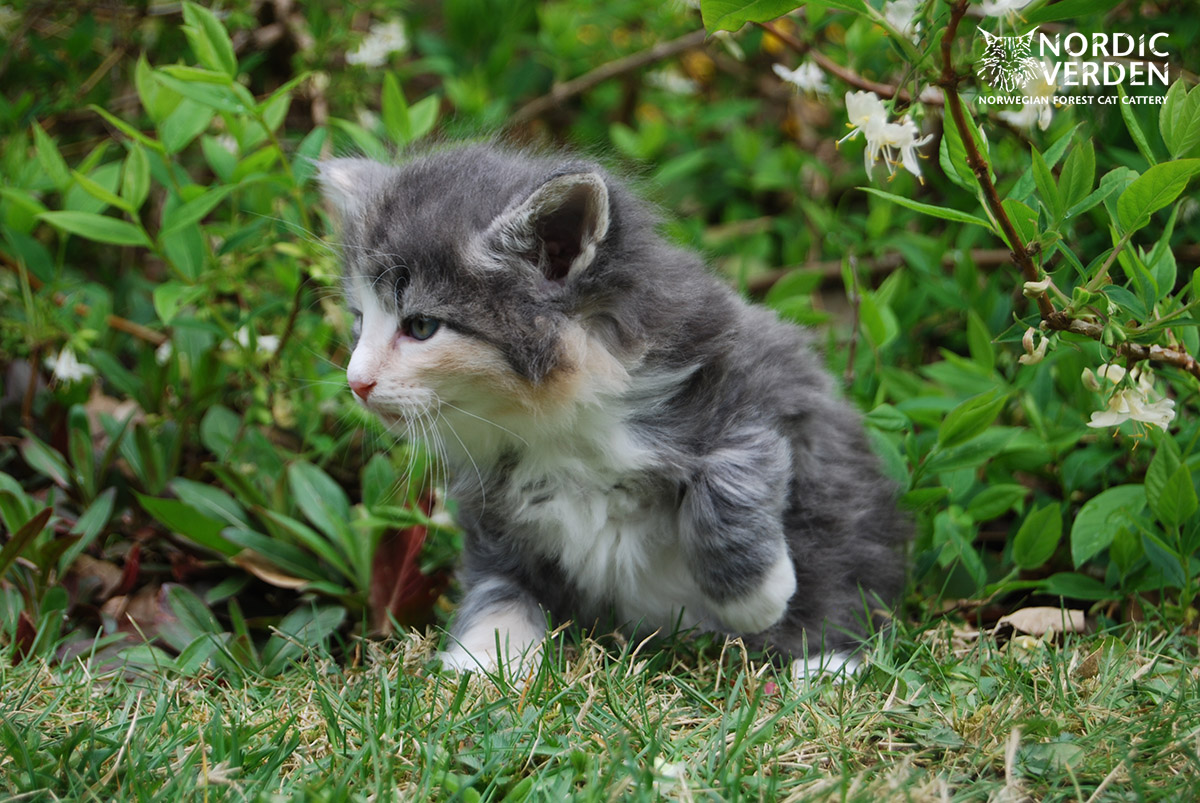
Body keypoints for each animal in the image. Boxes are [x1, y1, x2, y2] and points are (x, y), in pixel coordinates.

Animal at [318, 142, 909, 677]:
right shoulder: (493, 512)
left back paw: (823, 665)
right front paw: (485, 660)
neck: (552, 425)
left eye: (420, 327)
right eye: (360, 319)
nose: (356, 383)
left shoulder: (757, 394)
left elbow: (730, 481)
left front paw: (756, 599)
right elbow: (499, 584)